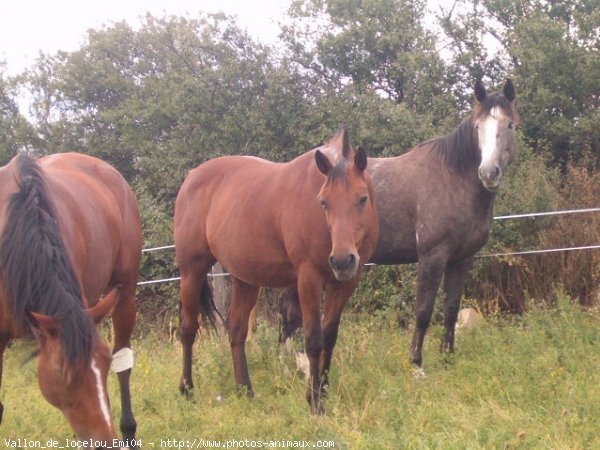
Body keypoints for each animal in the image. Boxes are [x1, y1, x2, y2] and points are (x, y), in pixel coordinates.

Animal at [175, 125, 380, 412]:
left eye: (362, 199)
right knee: (188, 329)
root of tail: (192, 176)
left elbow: (329, 337)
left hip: (245, 279)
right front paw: (315, 402)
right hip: (191, 271)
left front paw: (324, 391)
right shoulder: (308, 279)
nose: (341, 261)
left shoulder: (346, 283)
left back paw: (245, 391)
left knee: (236, 330)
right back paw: (187, 390)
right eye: (323, 202)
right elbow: (314, 339)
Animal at [278, 80, 516, 370]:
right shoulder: (432, 256)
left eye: (510, 125)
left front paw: (448, 358)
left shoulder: (462, 259)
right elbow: (423, 311)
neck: (452, 179)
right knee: (290, 310)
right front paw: (416, 364)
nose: (488, 172)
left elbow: (450, 310)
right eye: (478, 127)